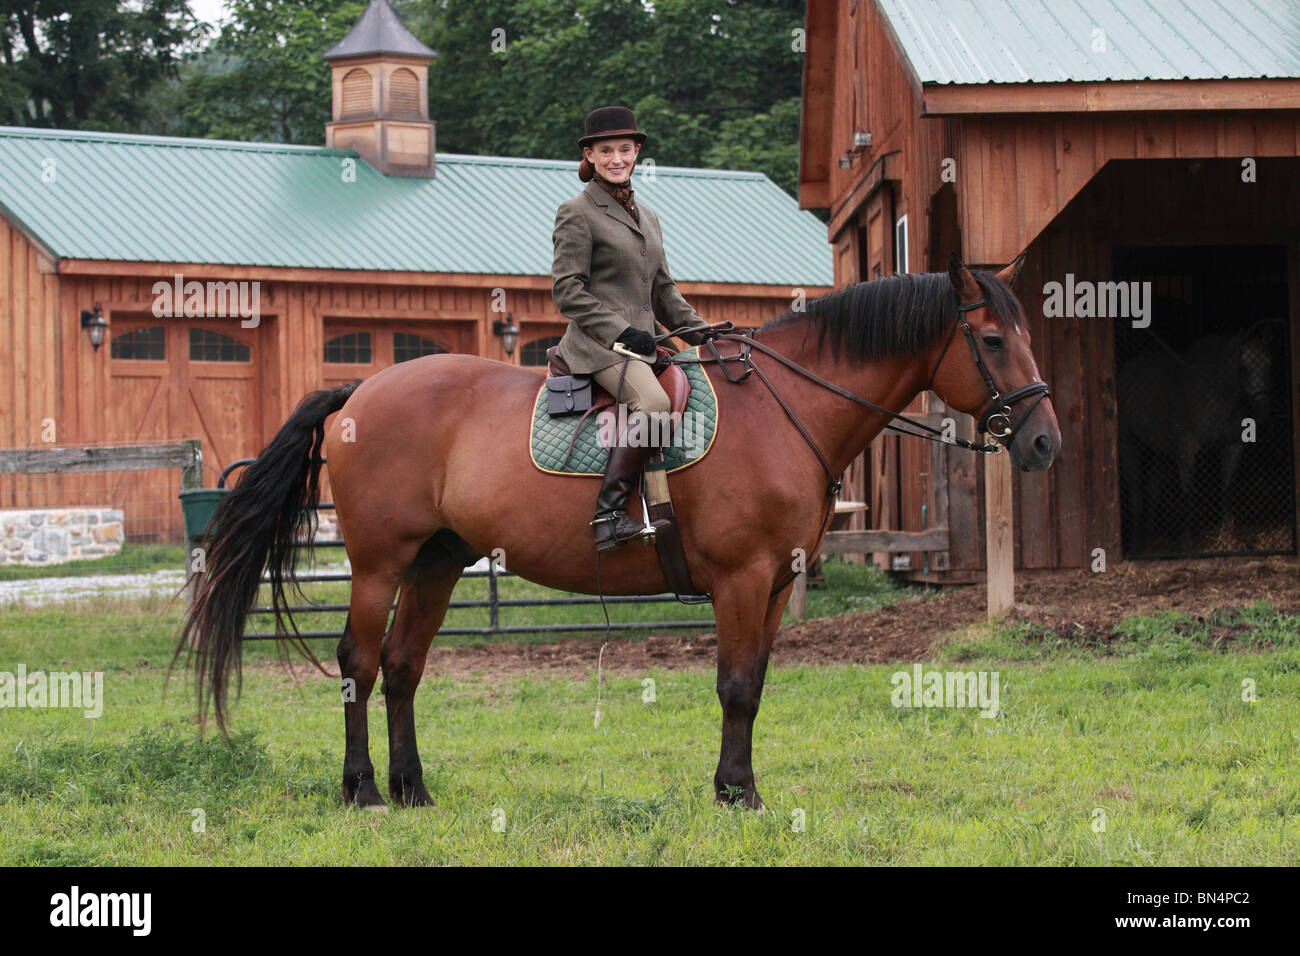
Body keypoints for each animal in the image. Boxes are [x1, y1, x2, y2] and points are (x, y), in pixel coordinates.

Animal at [178, 252, 1060, 806]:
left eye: (1026, 335)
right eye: (990, 340)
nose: (1046, 443)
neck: (787, 407)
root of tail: (360, 389)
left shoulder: (776, 585)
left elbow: (755, 686)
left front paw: (739, 786)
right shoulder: (740, 579)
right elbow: (735, 686)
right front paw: (735, 795)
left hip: (436, 563)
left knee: (402, 668)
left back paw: (413, 789)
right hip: (377, 563)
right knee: (359, 665)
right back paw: (361, 790)